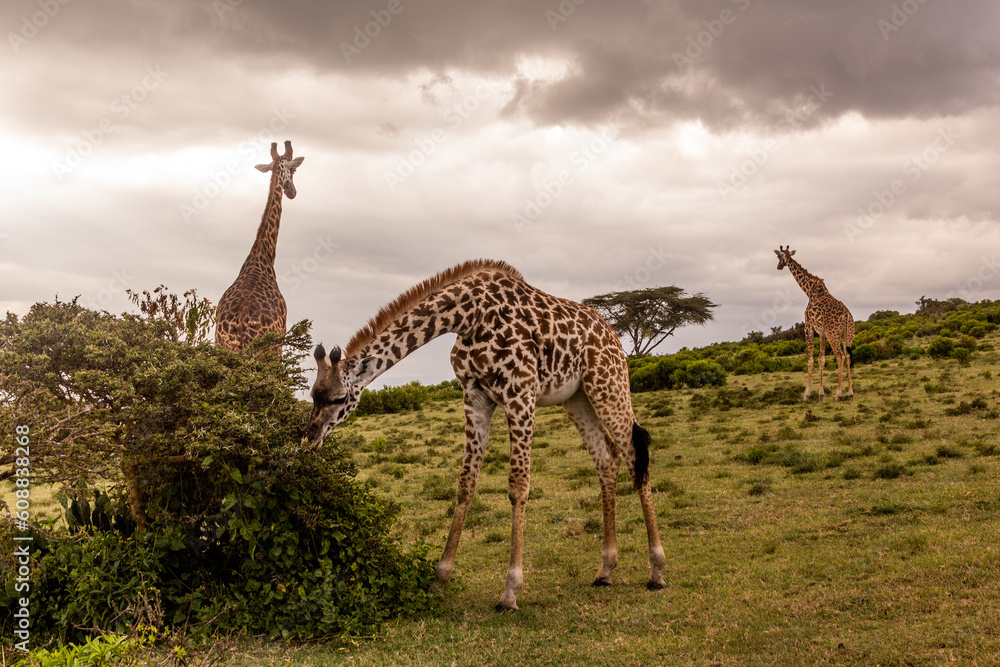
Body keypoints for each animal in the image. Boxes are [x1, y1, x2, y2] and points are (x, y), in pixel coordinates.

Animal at [214, 140, 304, 351]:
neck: (262, 255)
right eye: (294, 170)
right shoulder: (281, 339)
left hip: (222, 345)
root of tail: (241, 321)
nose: (293, 192)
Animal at [304, 259, 667, 611]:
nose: (311, 439)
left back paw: (657, 571)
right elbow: (466, 484)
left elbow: (518, 486)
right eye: (312, 395)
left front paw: (510, 592)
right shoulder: (475, 398)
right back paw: (605, 570)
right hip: (577, 398)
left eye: (339, 398)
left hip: (608, 384)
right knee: (607, 459)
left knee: (635, 455)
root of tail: (614, 336)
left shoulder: (521, 393)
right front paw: (439, 580)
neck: (468, 317)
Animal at [774, 246, 855, 401]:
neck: (809, 290)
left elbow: (810, 360)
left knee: (840, 356)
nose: (778, 267)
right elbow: (821, 359)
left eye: (779, 257)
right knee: (848, 356)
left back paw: (838, 394)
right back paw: (850, 393)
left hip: (833, 334)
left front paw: (807, 395)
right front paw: (821, 394)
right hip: (848, 335)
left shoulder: (808, 327)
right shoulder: (822, 333)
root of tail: (846, 316)